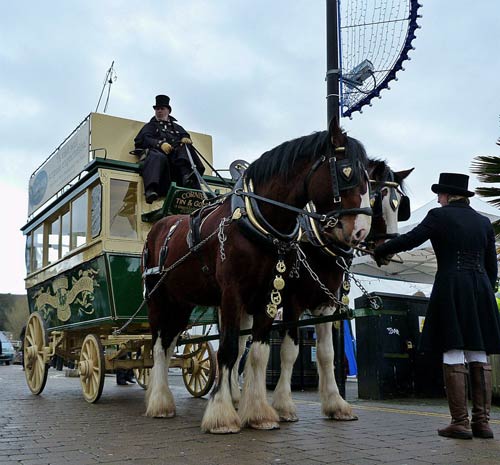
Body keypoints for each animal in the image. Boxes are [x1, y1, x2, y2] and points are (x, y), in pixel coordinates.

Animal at [141, 118, 372, 432]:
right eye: (346, 172)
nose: (360, 231)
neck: (258, 221)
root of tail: (159, 226)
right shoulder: (240, 294)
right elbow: (229, 350)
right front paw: (223, 414)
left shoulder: (274, 295)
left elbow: (263, 353)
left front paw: (259, 412)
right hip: (157, 300)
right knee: (157, 346)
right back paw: (159, 402)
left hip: (182, 303)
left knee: (169, 344)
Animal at [270, 160, 414, 420]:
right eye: (376, 200)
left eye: (400, 205)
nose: (389, 249)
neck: (315, 238)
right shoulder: (292, 303)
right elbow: (288, 352)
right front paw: (283, 405)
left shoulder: (326, 304)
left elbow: (327, 353)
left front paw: (336, 403)